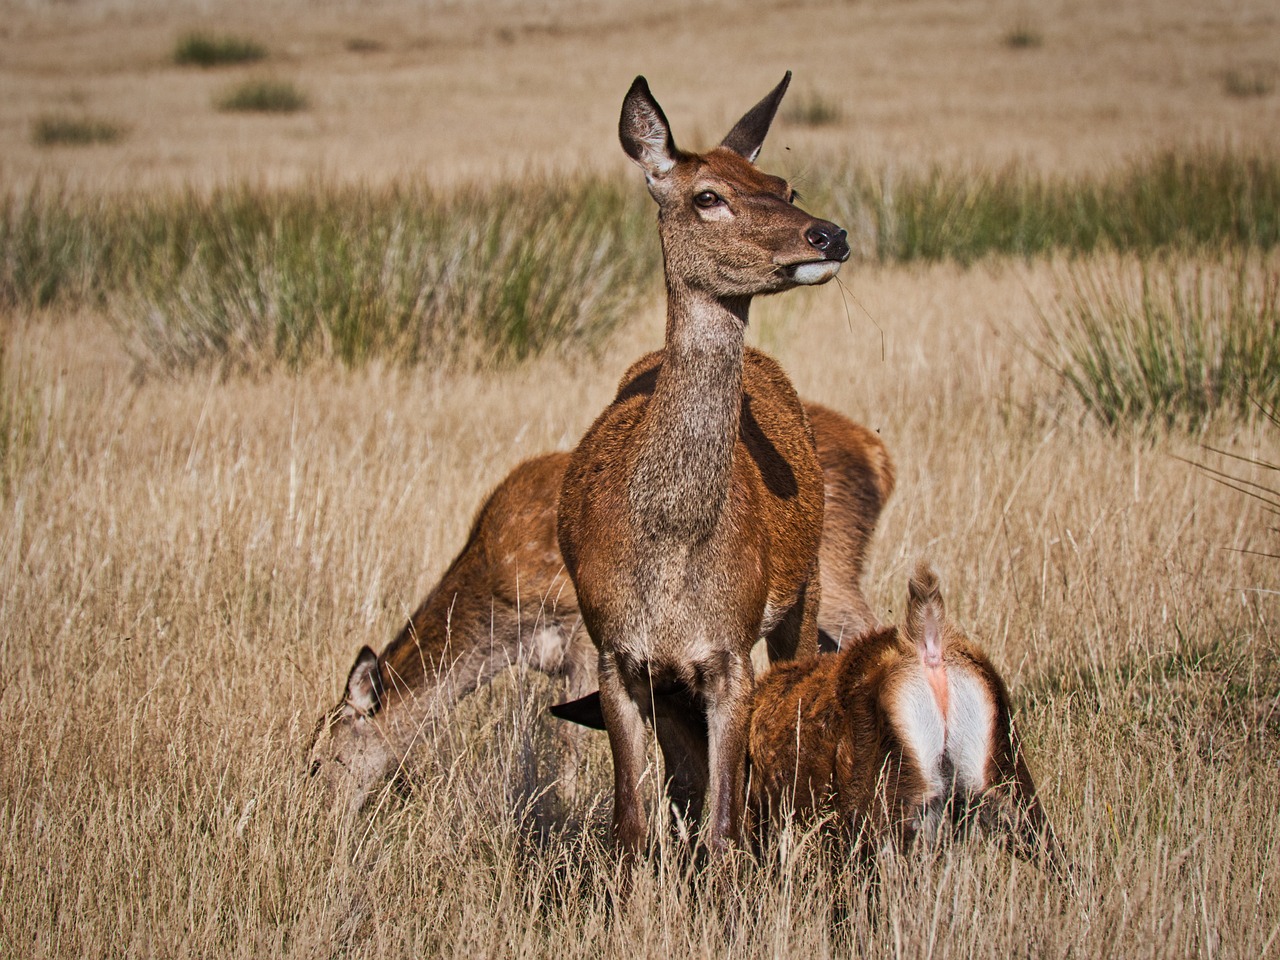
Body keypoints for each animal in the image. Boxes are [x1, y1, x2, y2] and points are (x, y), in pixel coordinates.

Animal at [305, 407, 896, 819]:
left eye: (316, 760)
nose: (314, 821)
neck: (501, 620)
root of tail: (880, 458)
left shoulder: (579, 634)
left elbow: (569, 740)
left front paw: (565, 808)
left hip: (830, 572)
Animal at [552, 75, 844, 855]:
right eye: (706, 195)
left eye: (785, 185)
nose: (829, 234)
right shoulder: (616, 654)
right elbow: (629, 822)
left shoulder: (729, 651)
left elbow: (724, 829)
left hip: (803, 590)